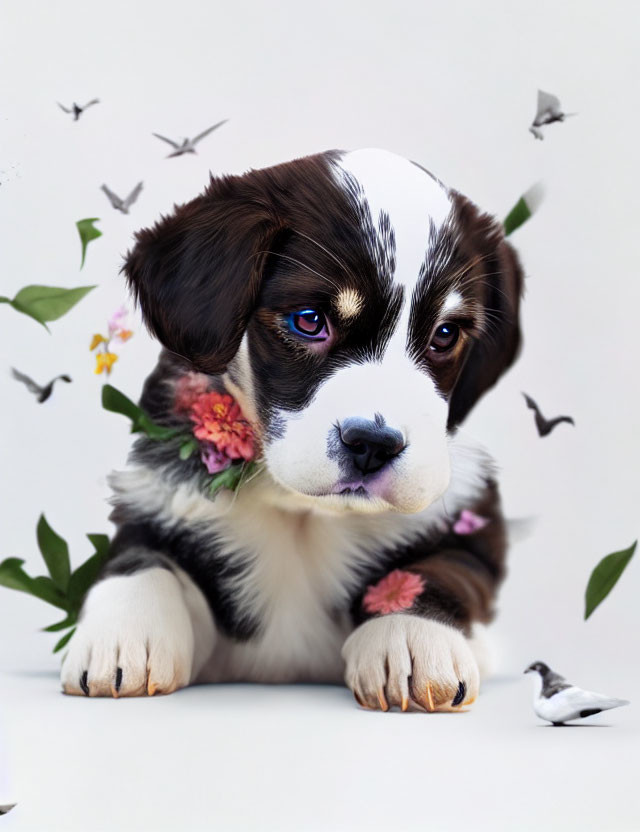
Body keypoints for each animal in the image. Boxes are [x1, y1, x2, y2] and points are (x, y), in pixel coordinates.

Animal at [60, 148, 524, 708]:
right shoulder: (156, 498)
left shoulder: (469, 524)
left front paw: (413, 639)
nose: (372, 446)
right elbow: (140, 560)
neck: (299, 509)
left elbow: (438, 571)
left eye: (445, 334)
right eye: (309, 320)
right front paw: (123, 637)